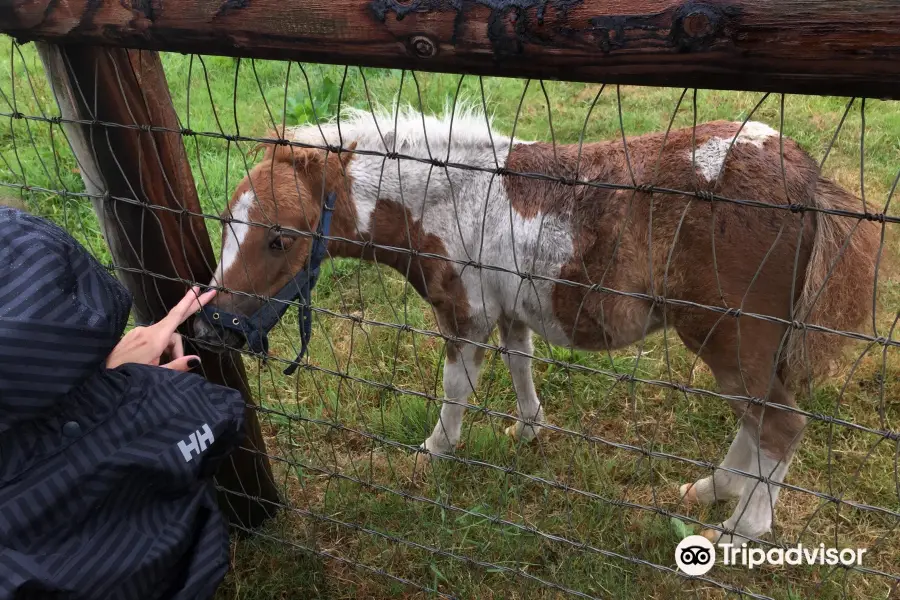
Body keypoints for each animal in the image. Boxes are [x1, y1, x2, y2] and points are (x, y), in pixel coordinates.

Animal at [195, 108, 880, 544]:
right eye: (227, 221)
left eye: (280, 239)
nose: (212, 330)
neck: (452, 197)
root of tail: (802, 173)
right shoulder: (508, 311)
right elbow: (519, 361)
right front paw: (528, 430)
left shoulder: (464, 312)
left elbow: (456, 387)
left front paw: (436, 450)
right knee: (756, 420)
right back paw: (715, 489)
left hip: (729, 334)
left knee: (779, 424)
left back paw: (741, 530)